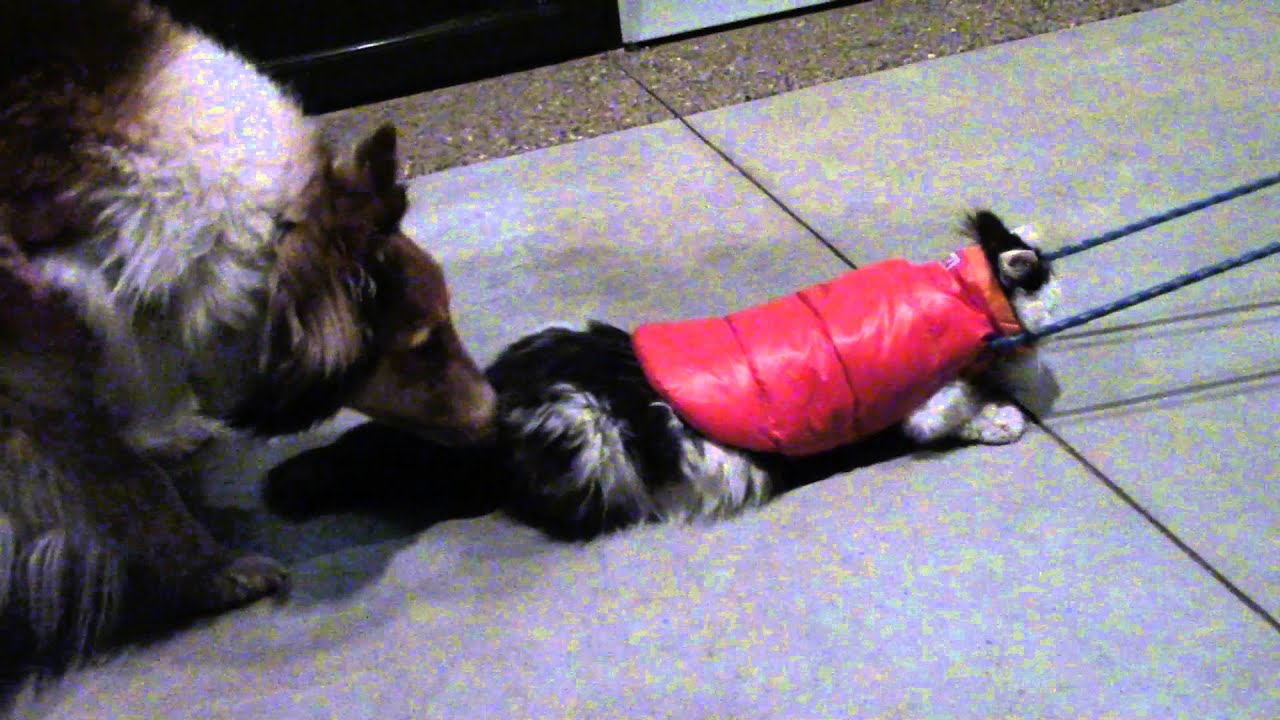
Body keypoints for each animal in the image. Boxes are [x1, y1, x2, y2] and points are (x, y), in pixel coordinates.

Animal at [1, 0, 495, 677]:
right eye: (425, 342)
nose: (498, 417)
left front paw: (162, 432)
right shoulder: (34, 397)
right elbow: (137, 490)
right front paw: (217, 575)